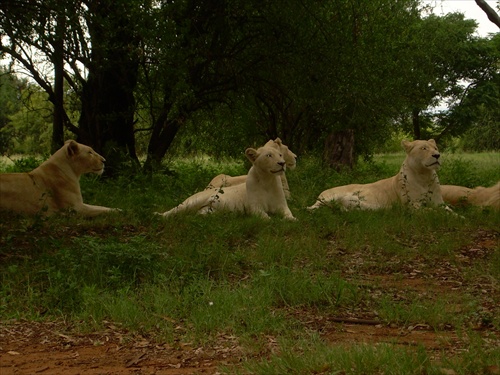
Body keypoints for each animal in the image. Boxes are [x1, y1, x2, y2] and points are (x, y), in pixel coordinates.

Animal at [158, 145, 294, 220]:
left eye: (280, 155)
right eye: (269, 155)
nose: (282, 163)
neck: (267, 179)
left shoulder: (282, 206)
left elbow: (290, 216)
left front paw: (292, 219)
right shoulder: (255, 208)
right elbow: (267, 218)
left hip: (208, 211)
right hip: (191, 202)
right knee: (173, 211)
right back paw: (158, 215)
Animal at [308, 140, 446, 213]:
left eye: (436, 148)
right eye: (424, 148)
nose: (437, 155)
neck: (424, 176)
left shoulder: (439, 202)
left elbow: (447, 210)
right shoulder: (412, 206)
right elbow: (432, 212)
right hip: (329, 197)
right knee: (312, 207)